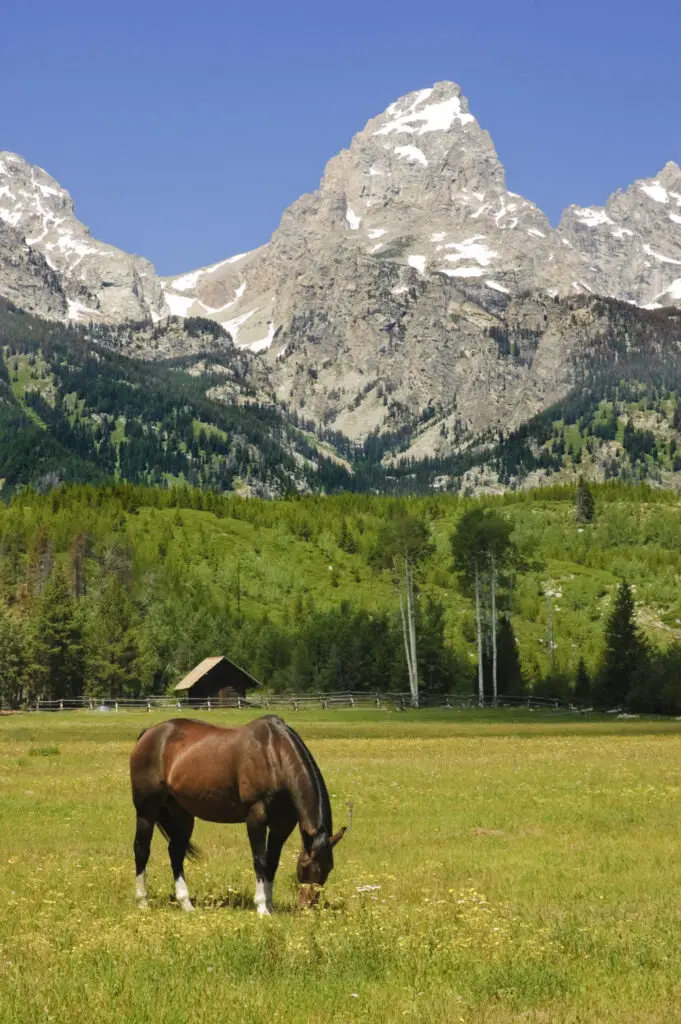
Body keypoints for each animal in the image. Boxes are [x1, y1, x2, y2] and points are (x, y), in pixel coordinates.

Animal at [128, 716, 346, 917]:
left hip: (182, 814)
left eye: (329, 868)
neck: (274, 754)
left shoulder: (282, 824)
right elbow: (260, 859)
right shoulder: (256, 816)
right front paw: (261, 907)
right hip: (147, 811)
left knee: (176, 852)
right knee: (142, 850)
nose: (307, 908)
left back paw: (186, 904)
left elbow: (272, 862)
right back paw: (142, 901)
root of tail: (148, 734)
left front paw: (270, 905)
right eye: (306, 865)